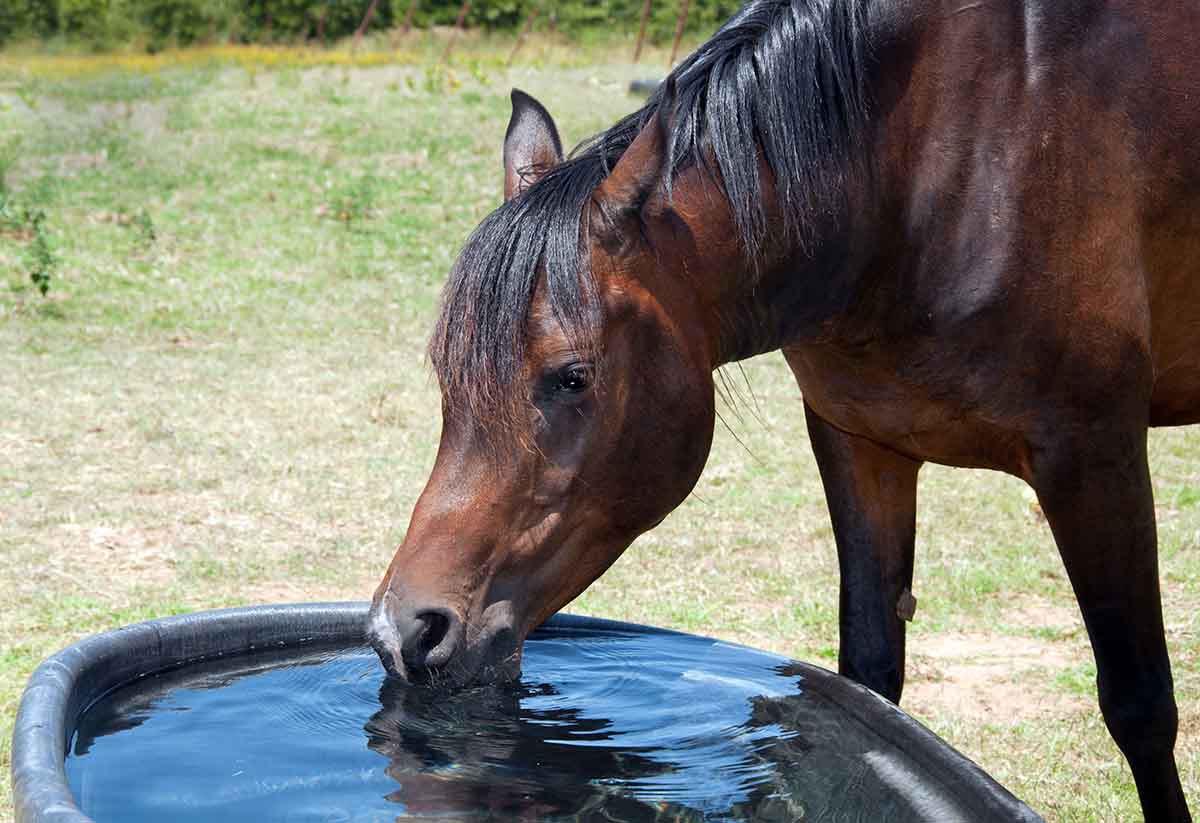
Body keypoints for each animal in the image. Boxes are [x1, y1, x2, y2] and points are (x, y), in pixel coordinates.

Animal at [367, 1, 1200, 819]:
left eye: (571, 378)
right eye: (446, 374)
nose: (402, 630)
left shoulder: (1093, 453)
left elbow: (1140, 705)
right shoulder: (859, 441)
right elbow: (867, 685)